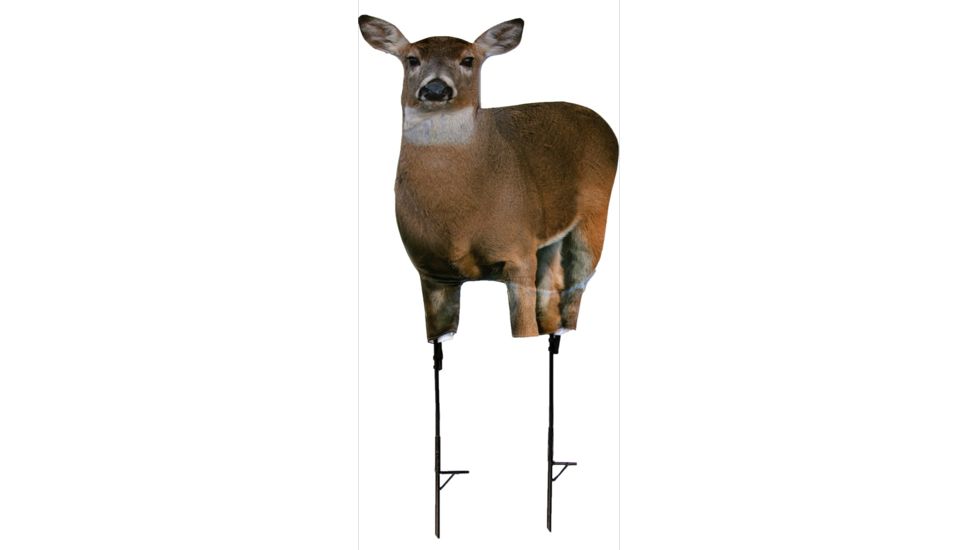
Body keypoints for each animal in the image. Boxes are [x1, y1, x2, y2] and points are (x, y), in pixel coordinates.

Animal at [358, 15, 618, 536]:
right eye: (411, 58)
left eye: (468, 59)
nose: (435, 89)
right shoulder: (431, 274)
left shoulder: (515, 254)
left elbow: (521, 330)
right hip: (547, 244)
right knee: (553, 297)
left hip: (592, 219)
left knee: (575, 295)